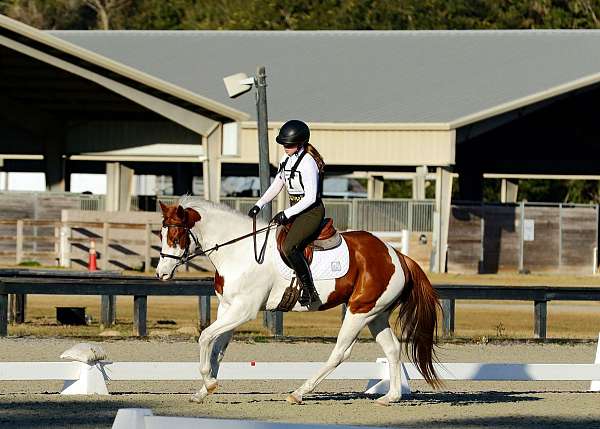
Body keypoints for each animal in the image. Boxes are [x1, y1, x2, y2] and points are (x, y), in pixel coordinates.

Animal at [157, 197, 442, 404]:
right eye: (161, 236)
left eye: (175, 237)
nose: (160, 274)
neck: (239, 251)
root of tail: (396, 254)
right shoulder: (228, 308)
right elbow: (217, 347)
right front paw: (205, 390)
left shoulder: (243, 310)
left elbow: (205, 337)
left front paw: (209, 382)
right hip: (376, 314)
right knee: (392, 349)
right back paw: (390, 397)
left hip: (359, 311)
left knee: (340, 352)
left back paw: (299, 393)